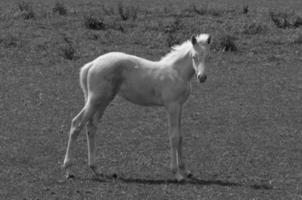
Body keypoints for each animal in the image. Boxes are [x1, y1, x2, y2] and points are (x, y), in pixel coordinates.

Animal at [62, 33, 211, 182]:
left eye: (208, 57)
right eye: (194, 56)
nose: (202, 77)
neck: (176, 72)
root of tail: (91, 64)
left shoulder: (180, 106)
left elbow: (180, 136)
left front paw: (186, 171)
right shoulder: (172, 106)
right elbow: (173, 137)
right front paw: (177, 174)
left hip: (102, 101)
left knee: (91, 127)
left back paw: (96, 169)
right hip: (95, 100)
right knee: (77, 124)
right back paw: (69, 170)